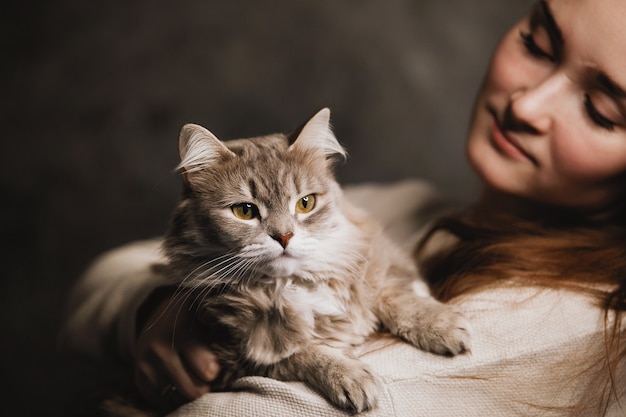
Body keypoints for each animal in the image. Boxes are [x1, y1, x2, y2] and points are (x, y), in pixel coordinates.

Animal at [161, 109, 468, 412]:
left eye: (305, 203)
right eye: (245, 211)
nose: (284, 236)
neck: (292, 283)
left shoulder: (382, 260)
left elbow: (398, 297)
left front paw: (442, 326)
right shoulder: (233, 358)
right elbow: (305, 354)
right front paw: (350, 377)